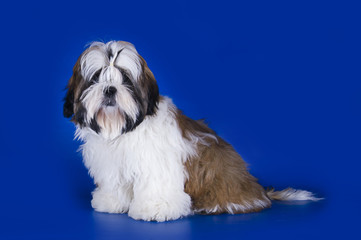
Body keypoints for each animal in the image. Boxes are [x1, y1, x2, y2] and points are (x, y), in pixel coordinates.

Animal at [63, 40, 320, 222]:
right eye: (95, 78)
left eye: (126, 79)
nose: (109, 89)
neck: (122, 129)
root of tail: (258, 190)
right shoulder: (113, 163)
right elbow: (116, 183)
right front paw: (111, 202)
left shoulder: (156, 163)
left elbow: (155, 185)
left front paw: (155, 208)